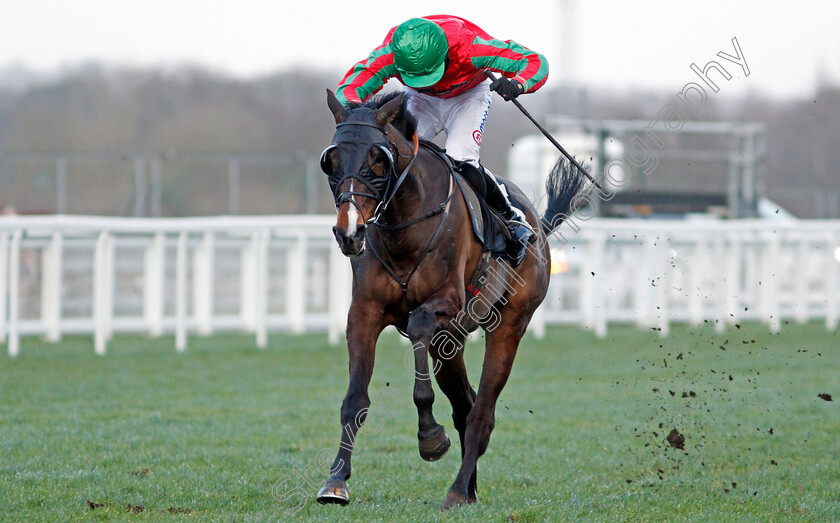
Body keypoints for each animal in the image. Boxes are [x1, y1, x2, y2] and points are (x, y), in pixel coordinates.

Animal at [316, 88, 584, 510]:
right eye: (332, 160)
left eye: (378, 158)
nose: (349, 231)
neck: (403, 225)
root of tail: (538, 226)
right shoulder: (364, 313)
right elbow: (355, 399)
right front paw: (336, 481)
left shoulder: (447, 304)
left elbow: (418, 326)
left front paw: (429, 436)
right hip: (451, 342)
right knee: (466, 405)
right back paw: (469, 488)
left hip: (509, 325)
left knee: (481, 413)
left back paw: (458, 489)